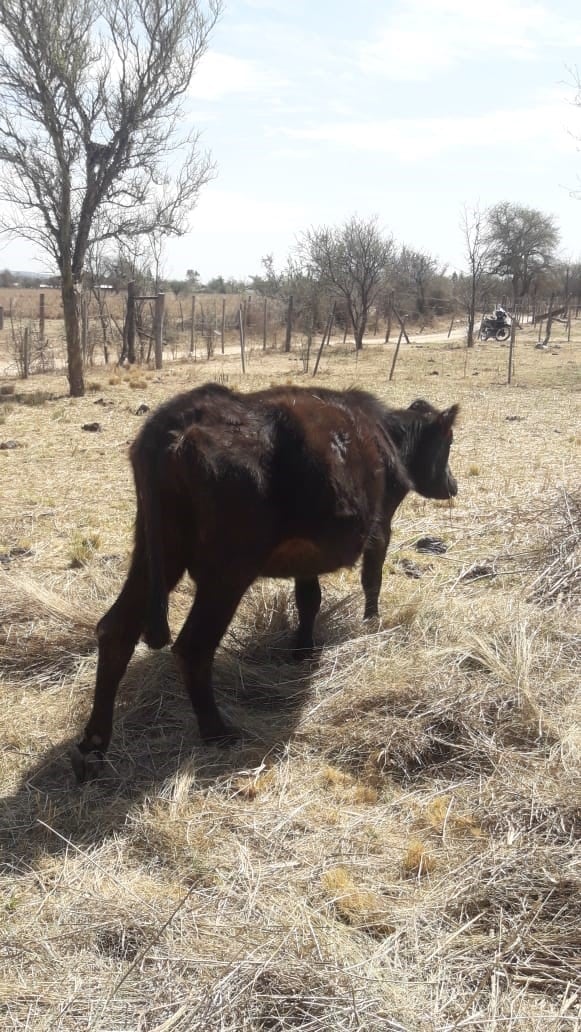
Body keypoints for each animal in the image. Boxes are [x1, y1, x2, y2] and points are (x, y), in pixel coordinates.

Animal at [71, 383, 460, 776]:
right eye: (448, 441)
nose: (453, 485)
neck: (387, 435)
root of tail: (179, 417)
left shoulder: (307, 552)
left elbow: (309, 598)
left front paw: (302, 648)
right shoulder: (381, 527)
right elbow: (372, 578)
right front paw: (371, 622)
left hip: (157, 554)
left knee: (116, 630)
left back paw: (93, 747)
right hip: (227, 571)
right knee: (193, 646)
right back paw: (217, 732)